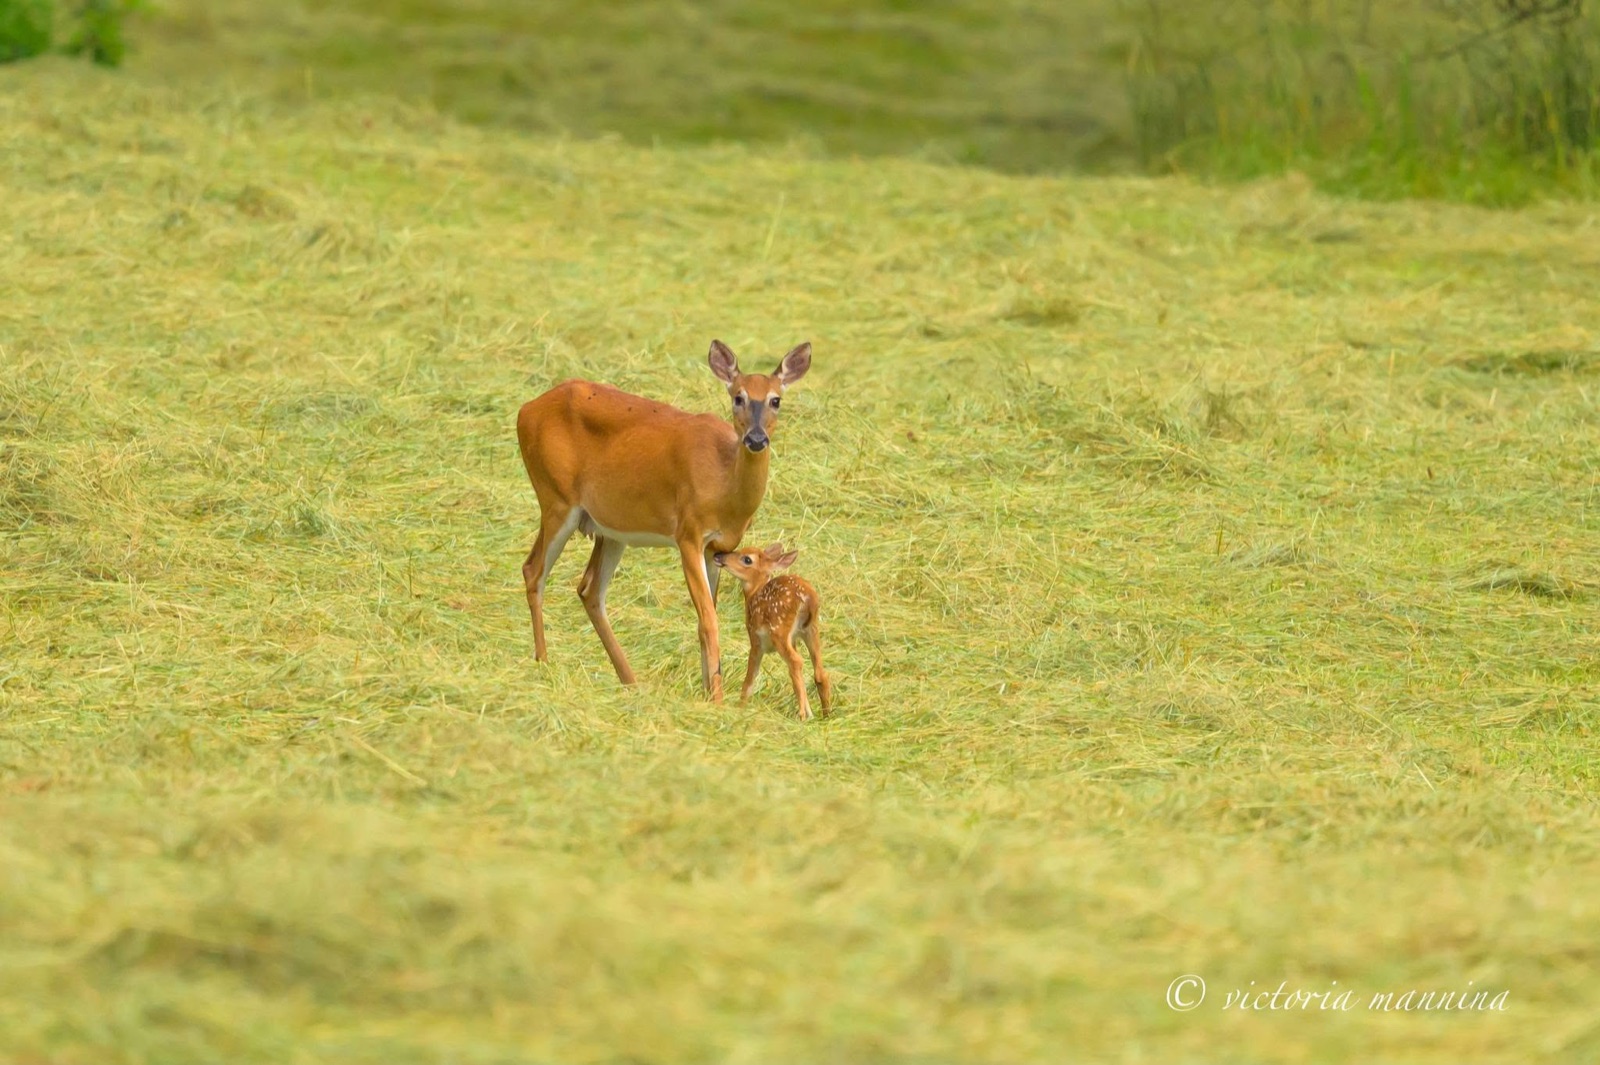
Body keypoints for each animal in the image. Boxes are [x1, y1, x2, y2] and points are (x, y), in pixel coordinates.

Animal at [514, 340, 812, 701]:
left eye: (776, 399)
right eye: (737, 397)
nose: (756, 439)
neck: (723, 482)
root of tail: (526, 410)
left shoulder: (717, 548)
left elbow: (706, 616)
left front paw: (708, 688)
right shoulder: (688, 533)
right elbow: (709, 620)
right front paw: (716, 698)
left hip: (610, 529)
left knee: (589, 589)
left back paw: (630, 680)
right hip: (556, 498)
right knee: (534, 569)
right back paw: (543, 662)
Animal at [712, 542, 832, 721]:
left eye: (747, 559)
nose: (718, 556)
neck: (753, 594)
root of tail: (808, 597)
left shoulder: (756, 641)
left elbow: (749, 680)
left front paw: (740, 709)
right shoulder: (793, 639)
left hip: (778, 630)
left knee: (796, 662)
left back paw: (803, 715)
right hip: (810, 629)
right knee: (819, 672)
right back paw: (825, 714)